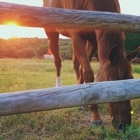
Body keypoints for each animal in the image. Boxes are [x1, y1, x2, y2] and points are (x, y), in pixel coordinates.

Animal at [43, 0, 137, 130]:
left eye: (131, 79)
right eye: (111, 80)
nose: (124, 125)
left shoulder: (93, 41)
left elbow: (84, 70)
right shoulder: (77, 36)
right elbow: (88, 73)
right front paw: (96, 117)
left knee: (76, 64)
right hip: (52, 33)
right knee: (58, 61)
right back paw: (58, 86)